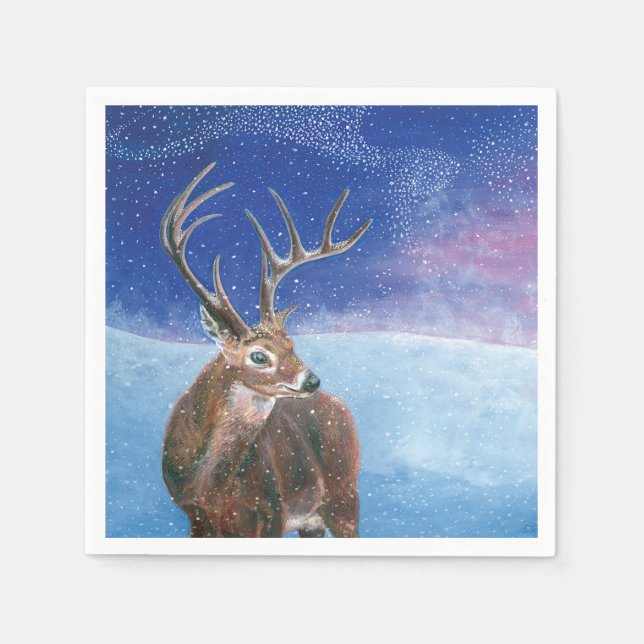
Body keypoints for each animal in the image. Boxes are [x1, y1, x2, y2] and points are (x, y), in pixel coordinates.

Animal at [159, 162, 371, 538]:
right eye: (259, 355)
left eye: (291, 343)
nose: (312, 380)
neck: (210, 484)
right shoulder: (196, 518)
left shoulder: (273, 510)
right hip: (314, 519)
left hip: (344, 495)